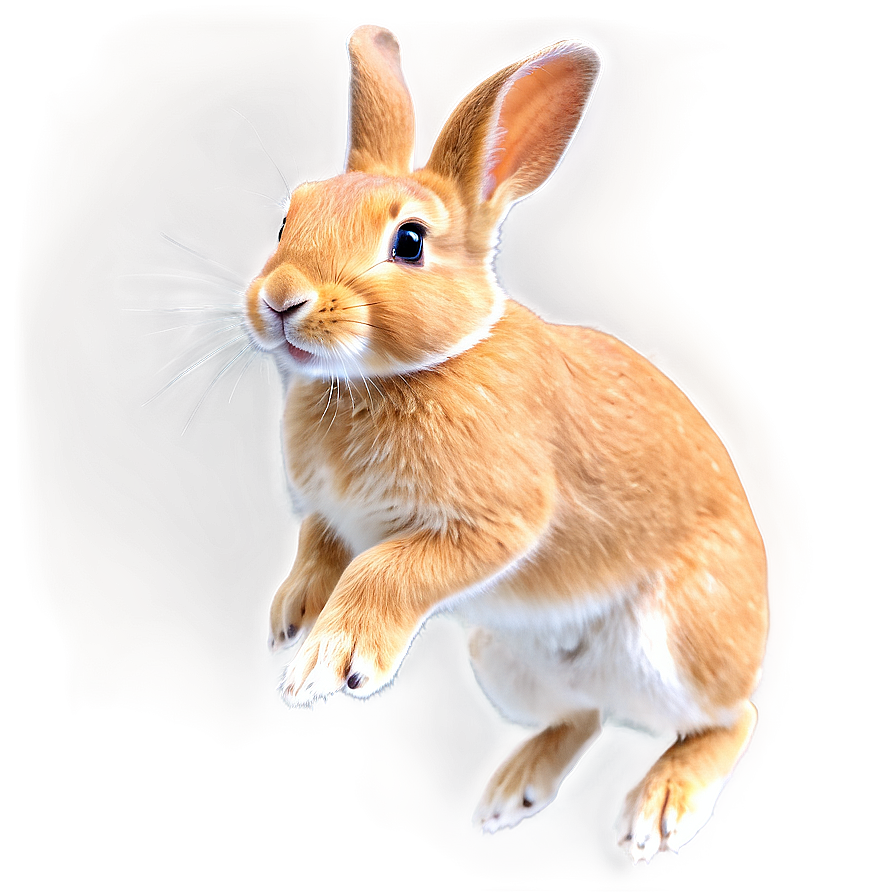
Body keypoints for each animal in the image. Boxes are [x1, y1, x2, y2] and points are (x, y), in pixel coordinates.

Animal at [244, 26, 768, 865]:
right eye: (286, 221)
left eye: (410, 241)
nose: (281, 299)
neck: (393, 375)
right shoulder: (329, 519)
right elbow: (321, 551)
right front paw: (289, 618)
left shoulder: (493, 523)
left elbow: (387, 570)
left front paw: (328, 663)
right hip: (503, 656)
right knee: (580, 716)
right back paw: (508, 792)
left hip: (680, 645)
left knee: (730, 718)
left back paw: (660, 808)